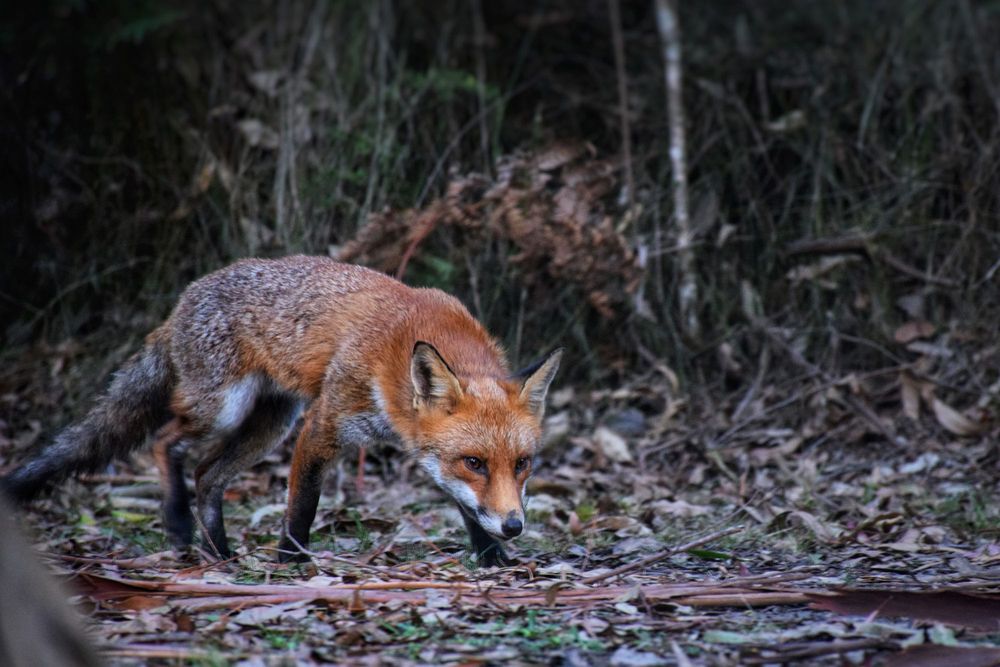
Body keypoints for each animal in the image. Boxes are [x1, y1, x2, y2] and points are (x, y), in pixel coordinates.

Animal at [1, 255, 561, 567]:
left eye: (522, 464)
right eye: (474, 462)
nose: (515, 526)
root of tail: (178, 306)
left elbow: (466, 507)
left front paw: (491, 556)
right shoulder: (323, 425)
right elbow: (302, 506)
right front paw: (290, 562)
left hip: (268, 425)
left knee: (206, 474)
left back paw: (219, 553)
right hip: (225, 410)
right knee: (166, 442)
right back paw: (180, 523)